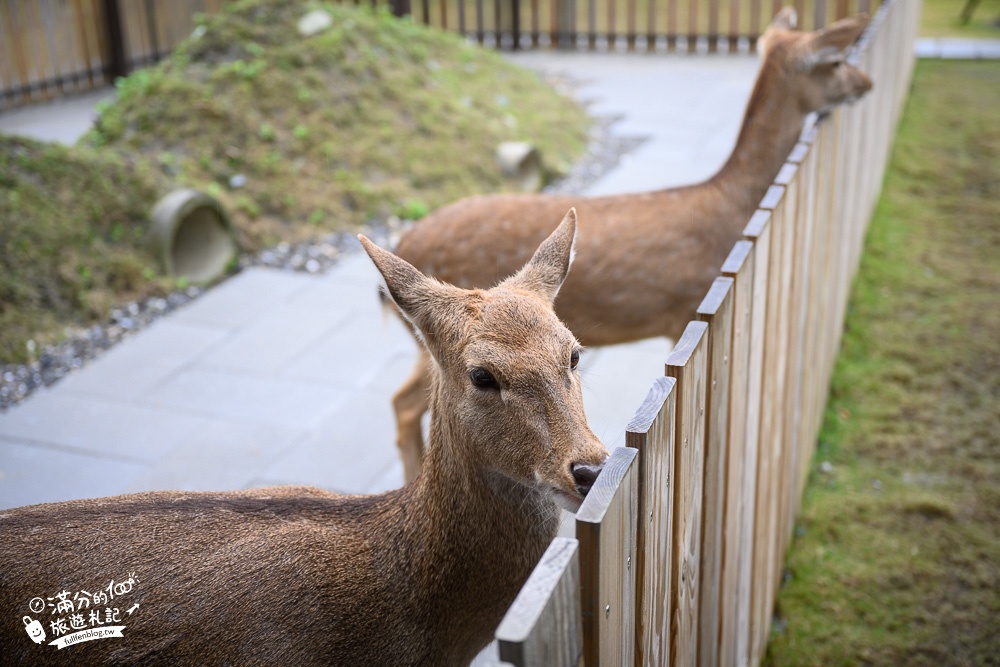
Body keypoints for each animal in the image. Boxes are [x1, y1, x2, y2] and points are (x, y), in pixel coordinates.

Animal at [386, 7, 872, 482]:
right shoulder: (684, 308)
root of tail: (404, 238)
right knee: (404, 403)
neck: (730, 208)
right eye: (835, 60)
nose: (867, 83)